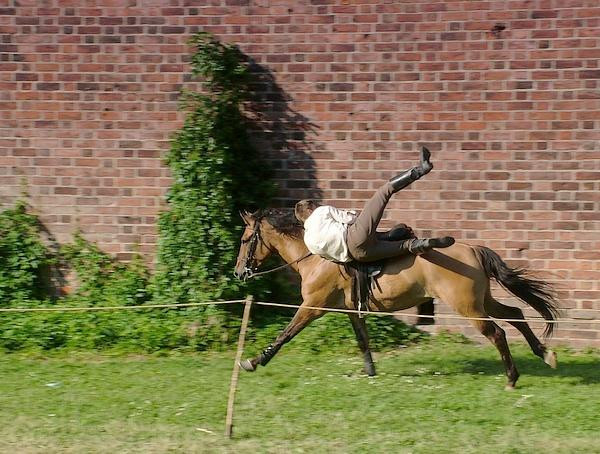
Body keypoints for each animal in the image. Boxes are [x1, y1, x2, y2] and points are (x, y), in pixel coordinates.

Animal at [233, 209, 556, 390]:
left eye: (246, 239)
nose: (238, 272)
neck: (315, 256)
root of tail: (473, 249)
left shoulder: (312, 307)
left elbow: (285, 334)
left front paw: (254, 361)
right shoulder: (350, 311)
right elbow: (363, 341)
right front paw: (371, 372)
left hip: (468, 307)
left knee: (498, 332)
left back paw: (512, 378)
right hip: (482, 301)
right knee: (515, 313)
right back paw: (544, 354)